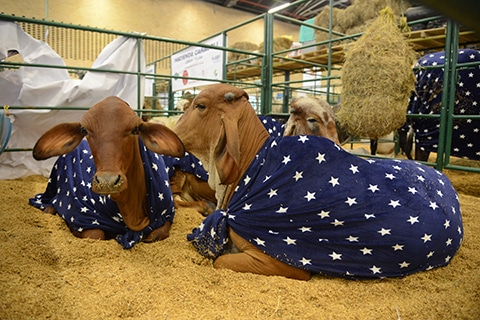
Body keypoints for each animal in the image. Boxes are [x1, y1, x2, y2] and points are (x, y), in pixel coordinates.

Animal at [29, 96, 185, 249]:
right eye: (85, 130)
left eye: (135, 129)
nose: (107, 182)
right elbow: (95, 234)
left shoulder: (166, 214)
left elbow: (158, 233)